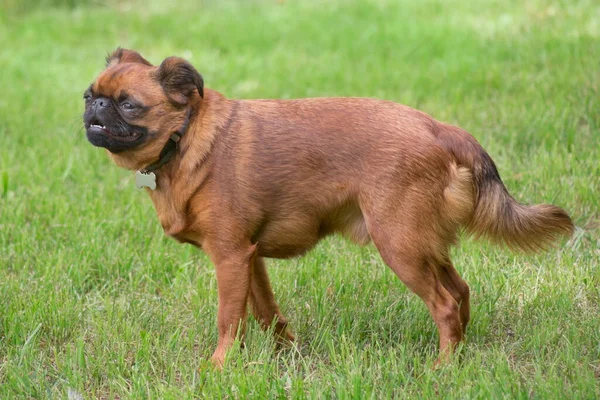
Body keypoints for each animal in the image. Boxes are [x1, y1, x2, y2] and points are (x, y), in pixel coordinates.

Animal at [82, 48, 576, 368]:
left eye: (129, 104)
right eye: (91, 94)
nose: (95, 106)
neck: (184, 136)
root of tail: (440, 128)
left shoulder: (229, 257)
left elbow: (229, 319)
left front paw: (219, 368)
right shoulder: (249, 258)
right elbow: (267, 313)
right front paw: (286, 355)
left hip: (399, 246)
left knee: (444, 304)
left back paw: (441, 368)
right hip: (423, 244)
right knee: (461, 290)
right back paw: (459, 353)